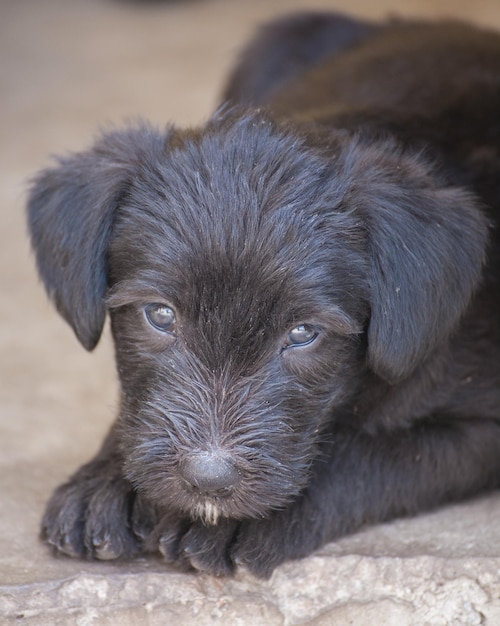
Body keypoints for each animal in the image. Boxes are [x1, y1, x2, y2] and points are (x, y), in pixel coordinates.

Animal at [26, 12, 500, 576]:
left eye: (303, 333)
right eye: (159, 315)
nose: (207, 479)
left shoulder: (481, 428)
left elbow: (365, 455)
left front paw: (237, 522)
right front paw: (105, 484)